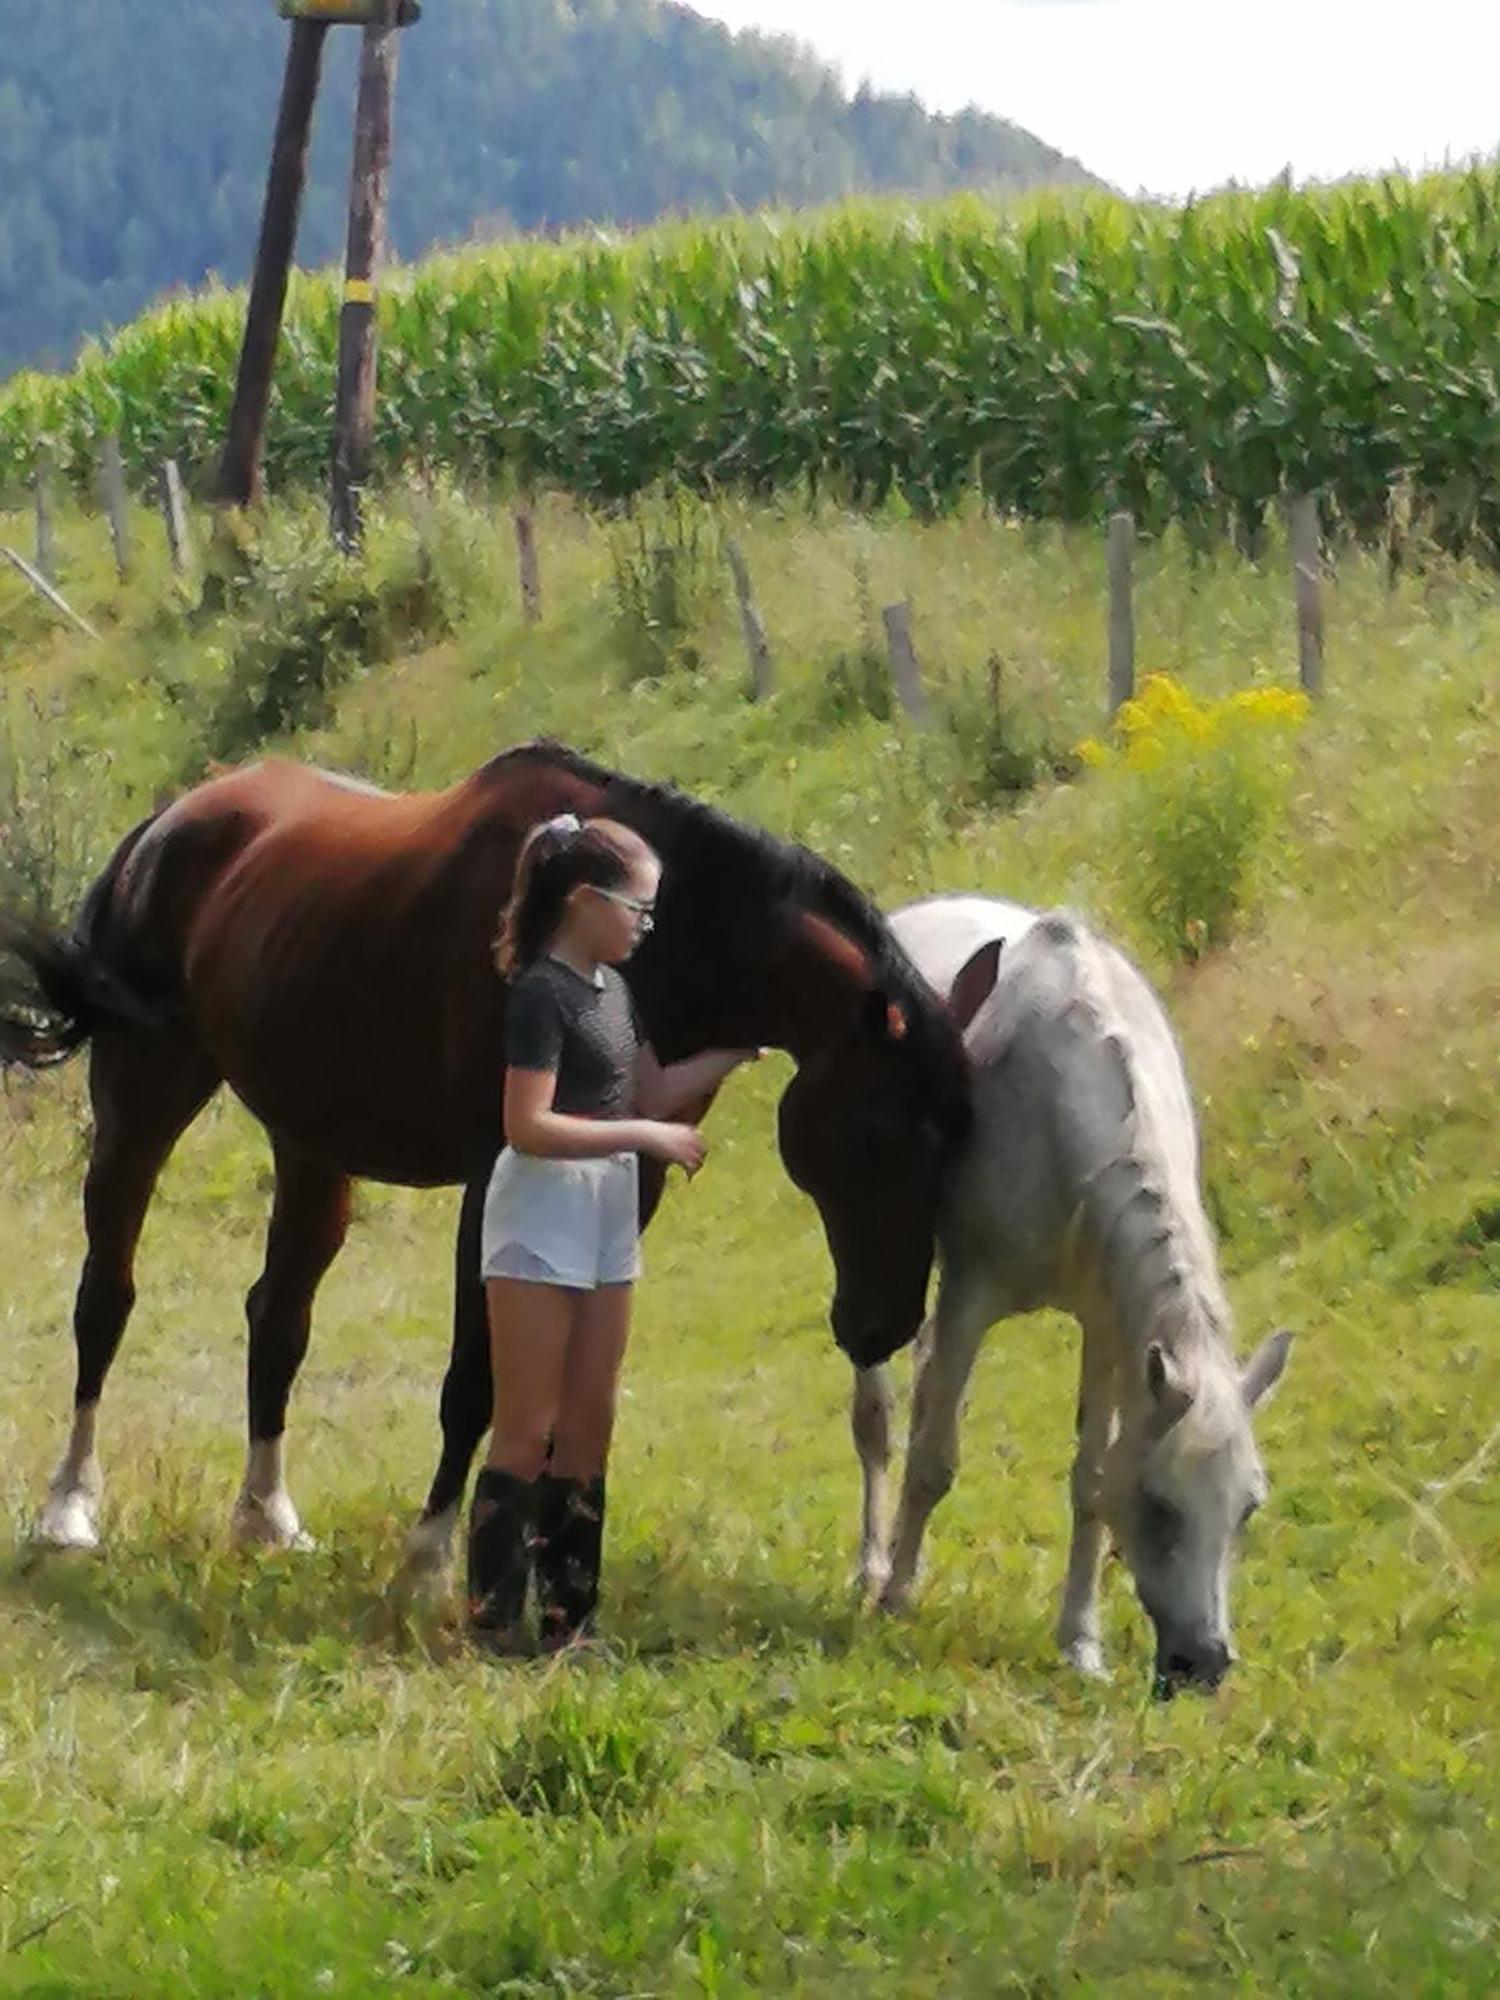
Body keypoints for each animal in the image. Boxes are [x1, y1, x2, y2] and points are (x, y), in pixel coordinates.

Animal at [2, 744, 976, 1568]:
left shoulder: (630, 1176)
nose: (883, 1328)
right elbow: (477, 1375)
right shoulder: (498, 1175)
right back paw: (70, 1507)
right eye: (877, 1134)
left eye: (959, 1140)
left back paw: (267, 1516)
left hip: (311, 1142)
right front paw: (434, 1555)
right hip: (143, 1098)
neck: (662, 947)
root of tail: (163, 826)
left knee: (277, 1318)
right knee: (106, 1297)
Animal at [856, 900, 1296, 1696]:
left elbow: (1091, 1481)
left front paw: (1081, 1645)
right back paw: (871, 1569)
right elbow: (933, 1460)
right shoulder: (971, 1296)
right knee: (877, 1417)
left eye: (1248, 1507)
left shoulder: (1110, 1327)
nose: (1204, 1665)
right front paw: (897, 1600)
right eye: (1160, 1505)